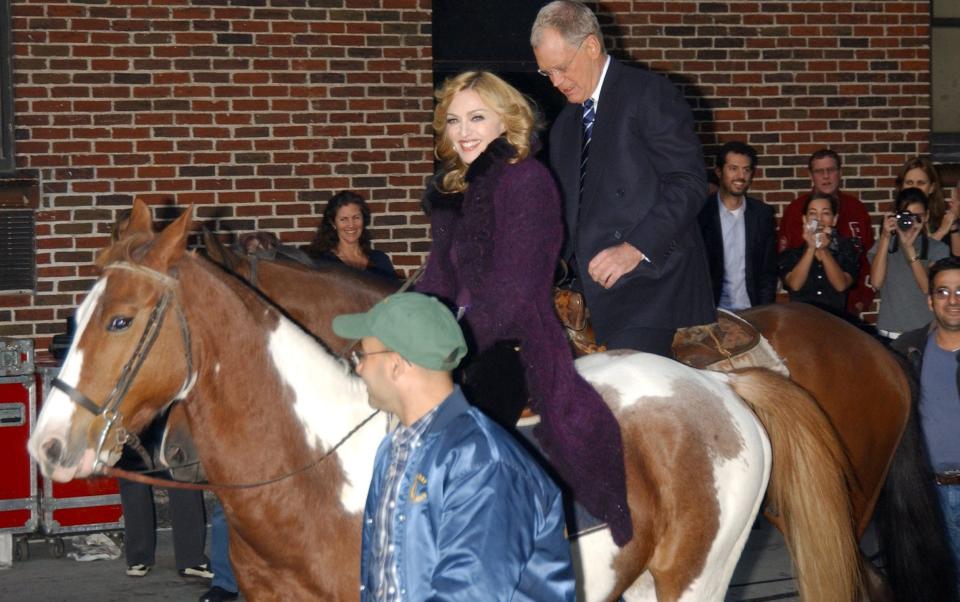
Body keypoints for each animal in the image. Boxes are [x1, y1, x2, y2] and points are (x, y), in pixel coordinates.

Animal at [28, 203, 856, 600]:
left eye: (121, 320)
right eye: (74, 315)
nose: (47, 447)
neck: (314, 469)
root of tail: (719, 386)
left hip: (696, 582)